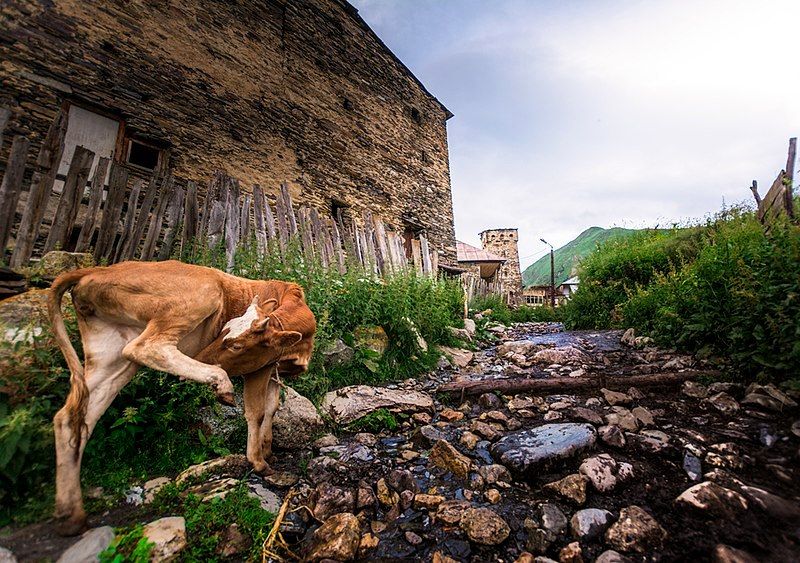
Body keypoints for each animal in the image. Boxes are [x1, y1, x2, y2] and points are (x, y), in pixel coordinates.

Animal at [45, 262, 316, 536]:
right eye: (223, 330)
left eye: (236, 345)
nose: (203, 357)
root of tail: (97, 269)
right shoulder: (259, 367)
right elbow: (256, 411)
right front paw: (258, 461)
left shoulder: (273, 370)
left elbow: (272, 408)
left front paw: (268, 449)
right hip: (200, 294)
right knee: (147, 347)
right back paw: (219, 381)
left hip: (110, 356)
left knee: (72, 419)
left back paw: (71, 515)